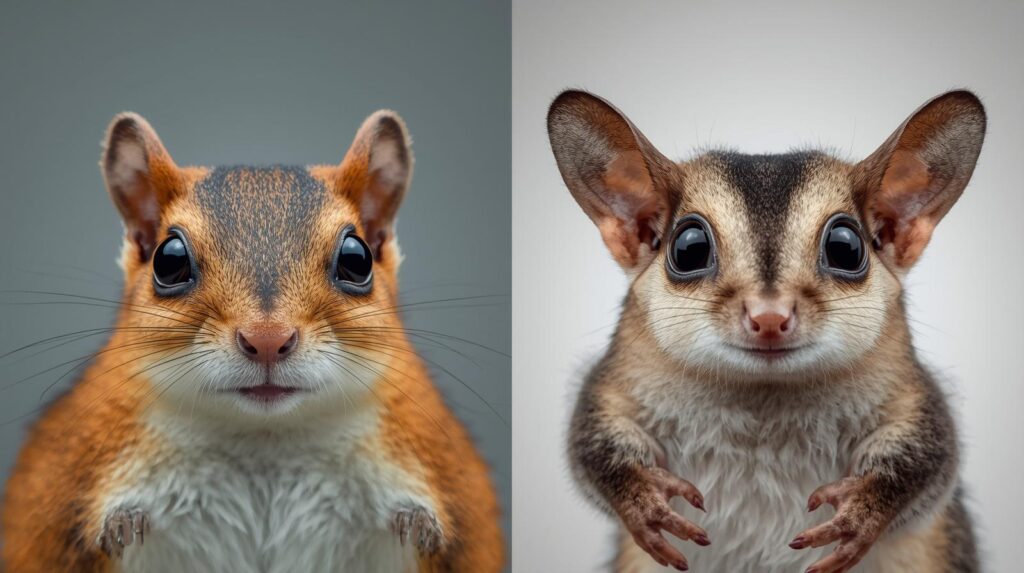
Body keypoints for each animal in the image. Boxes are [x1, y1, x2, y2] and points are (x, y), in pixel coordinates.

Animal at [2, 111, 503, 572]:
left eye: (357, 258)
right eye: (169, 260)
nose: (266, 339)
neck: (265, 443)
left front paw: (416, 523)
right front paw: (122, 523)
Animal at [547, 89, 985, 572]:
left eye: (846, 248)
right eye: (689, 248)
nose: (770, 317)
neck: (762, 401)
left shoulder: (913, 395)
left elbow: (931, 458)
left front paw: (861, 514)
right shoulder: (615, 384)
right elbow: (590, 445)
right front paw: (643, 502)